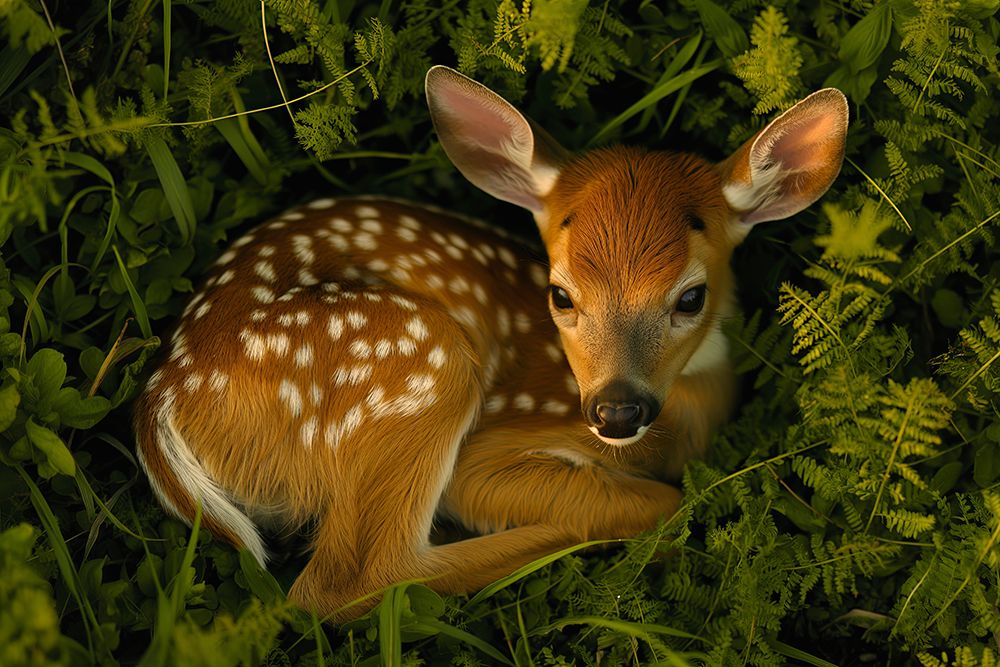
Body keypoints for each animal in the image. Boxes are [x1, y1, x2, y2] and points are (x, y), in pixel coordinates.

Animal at [133, 65, 848, 621]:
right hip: (419, 365)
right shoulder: (496, 449)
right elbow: (658, 500)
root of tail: (163, 403)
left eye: (690, 298)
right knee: (345, 583)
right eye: (560, 294)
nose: (616, 411)